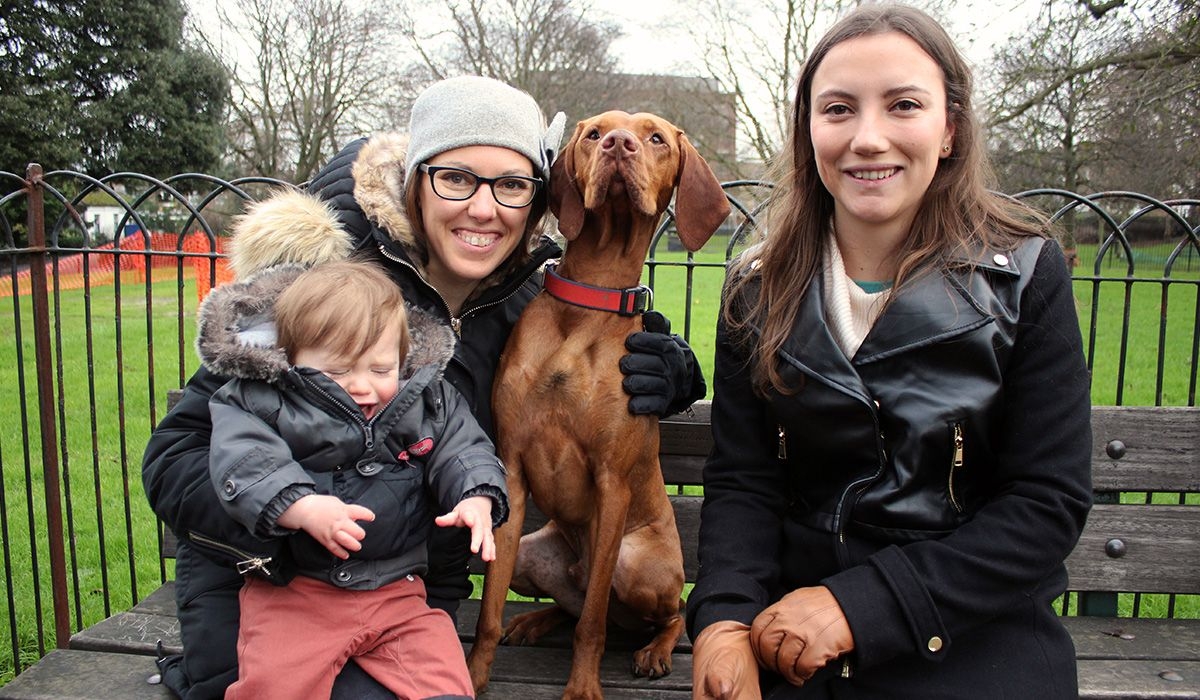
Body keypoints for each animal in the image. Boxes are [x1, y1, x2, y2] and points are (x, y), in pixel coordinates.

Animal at [465, 112, 729, 696]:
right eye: (593, 134)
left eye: (655, 138)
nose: (617, 144)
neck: (590, 300)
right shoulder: (512, 473)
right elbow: (488, 609)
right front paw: (472, 674)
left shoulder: (613, 484)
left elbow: (591, 627)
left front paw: (582, 687)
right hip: (532, 552)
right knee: (574, 603)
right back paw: (533, 620)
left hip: (636, 563)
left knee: (660, 611)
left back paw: (656, 650)